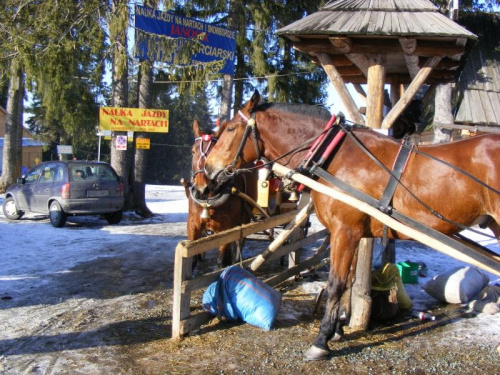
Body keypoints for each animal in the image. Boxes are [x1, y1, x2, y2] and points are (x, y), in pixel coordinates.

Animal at [199, 90, 500, 362]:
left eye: (231, 128)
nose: (206, 175)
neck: (334, 156)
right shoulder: (354, 233)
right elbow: (350, 281)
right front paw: (339, 326)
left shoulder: (345, 231)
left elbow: (336, 284)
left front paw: (321, 340)